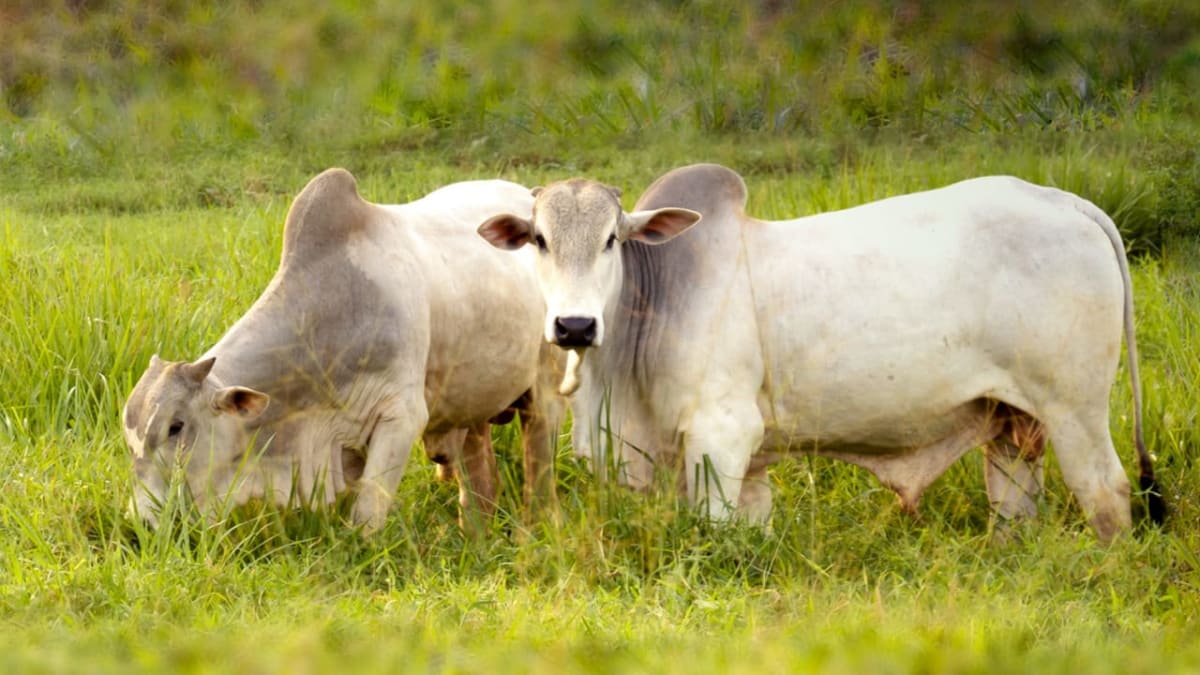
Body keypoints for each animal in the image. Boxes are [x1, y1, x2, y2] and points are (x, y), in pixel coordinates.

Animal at [123, 168, 564, 533]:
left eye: (176, 426)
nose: (144, 522)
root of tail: (527, 193)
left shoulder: (402, 416)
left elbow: (367, 518)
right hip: (472, 399)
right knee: (479, 473)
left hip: (544, 387)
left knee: (539, 456)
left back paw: (539, 522)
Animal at [478, 163, 1165, 542]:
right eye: (538, 239)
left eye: (612, 240)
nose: (573, 326)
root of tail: (1065, 201)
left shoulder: (722, 435)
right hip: (1012, 422)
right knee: (1015, 506)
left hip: (1075, 410)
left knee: (1107, 495)